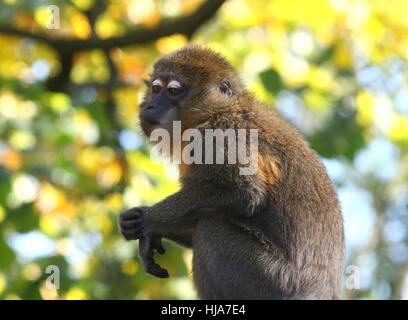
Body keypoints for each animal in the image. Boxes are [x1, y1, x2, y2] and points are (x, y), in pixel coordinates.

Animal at [118, 45, 344, 300]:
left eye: (173, 91)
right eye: (155, 89)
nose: (150, 105)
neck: (218, 111)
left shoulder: (216, 136)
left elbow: (244, 193)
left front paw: (148, 219)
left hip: (273, 282)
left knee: (209, 228)